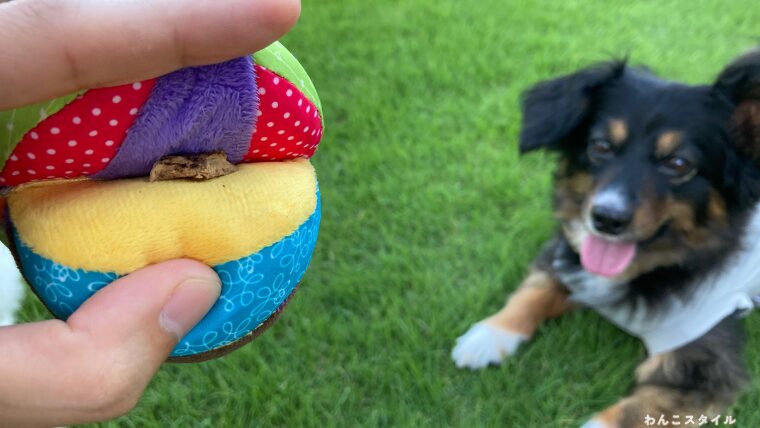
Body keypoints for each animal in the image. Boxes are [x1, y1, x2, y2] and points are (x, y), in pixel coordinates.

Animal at [452, 48, 760, 428]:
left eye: (678, 163)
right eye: (600, 145)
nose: (606, 219)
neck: (658, 265)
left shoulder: (703, 367)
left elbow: (631, 411)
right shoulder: (569, 257)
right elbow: (537, 287)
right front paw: (489, 334)